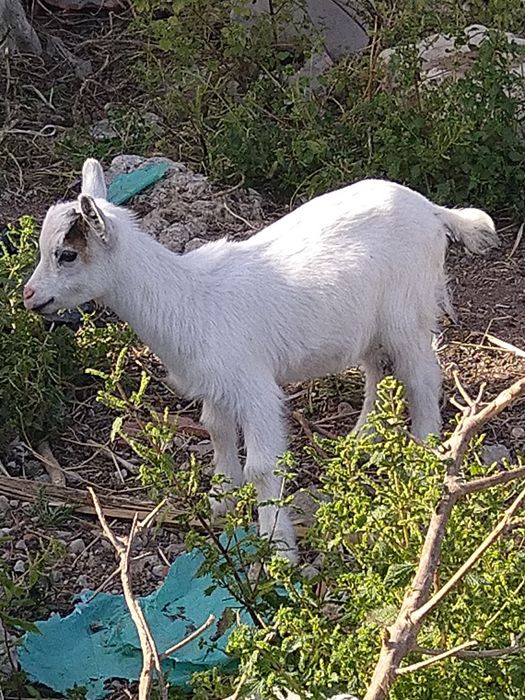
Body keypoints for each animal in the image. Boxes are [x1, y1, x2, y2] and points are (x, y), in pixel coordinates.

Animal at [24, 158, 498, 560]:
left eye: (66, 254)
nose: (29, 296)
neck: (189, 299)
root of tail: (433, 211)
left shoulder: (254, 389)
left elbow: (263, 466)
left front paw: (279, 549)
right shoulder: (215, 383)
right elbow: (216, 429)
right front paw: (221, 501)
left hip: (406, 310)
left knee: (422, 375)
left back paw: (425, 451)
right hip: (368, 321)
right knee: (376, 368)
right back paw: (361, 438)